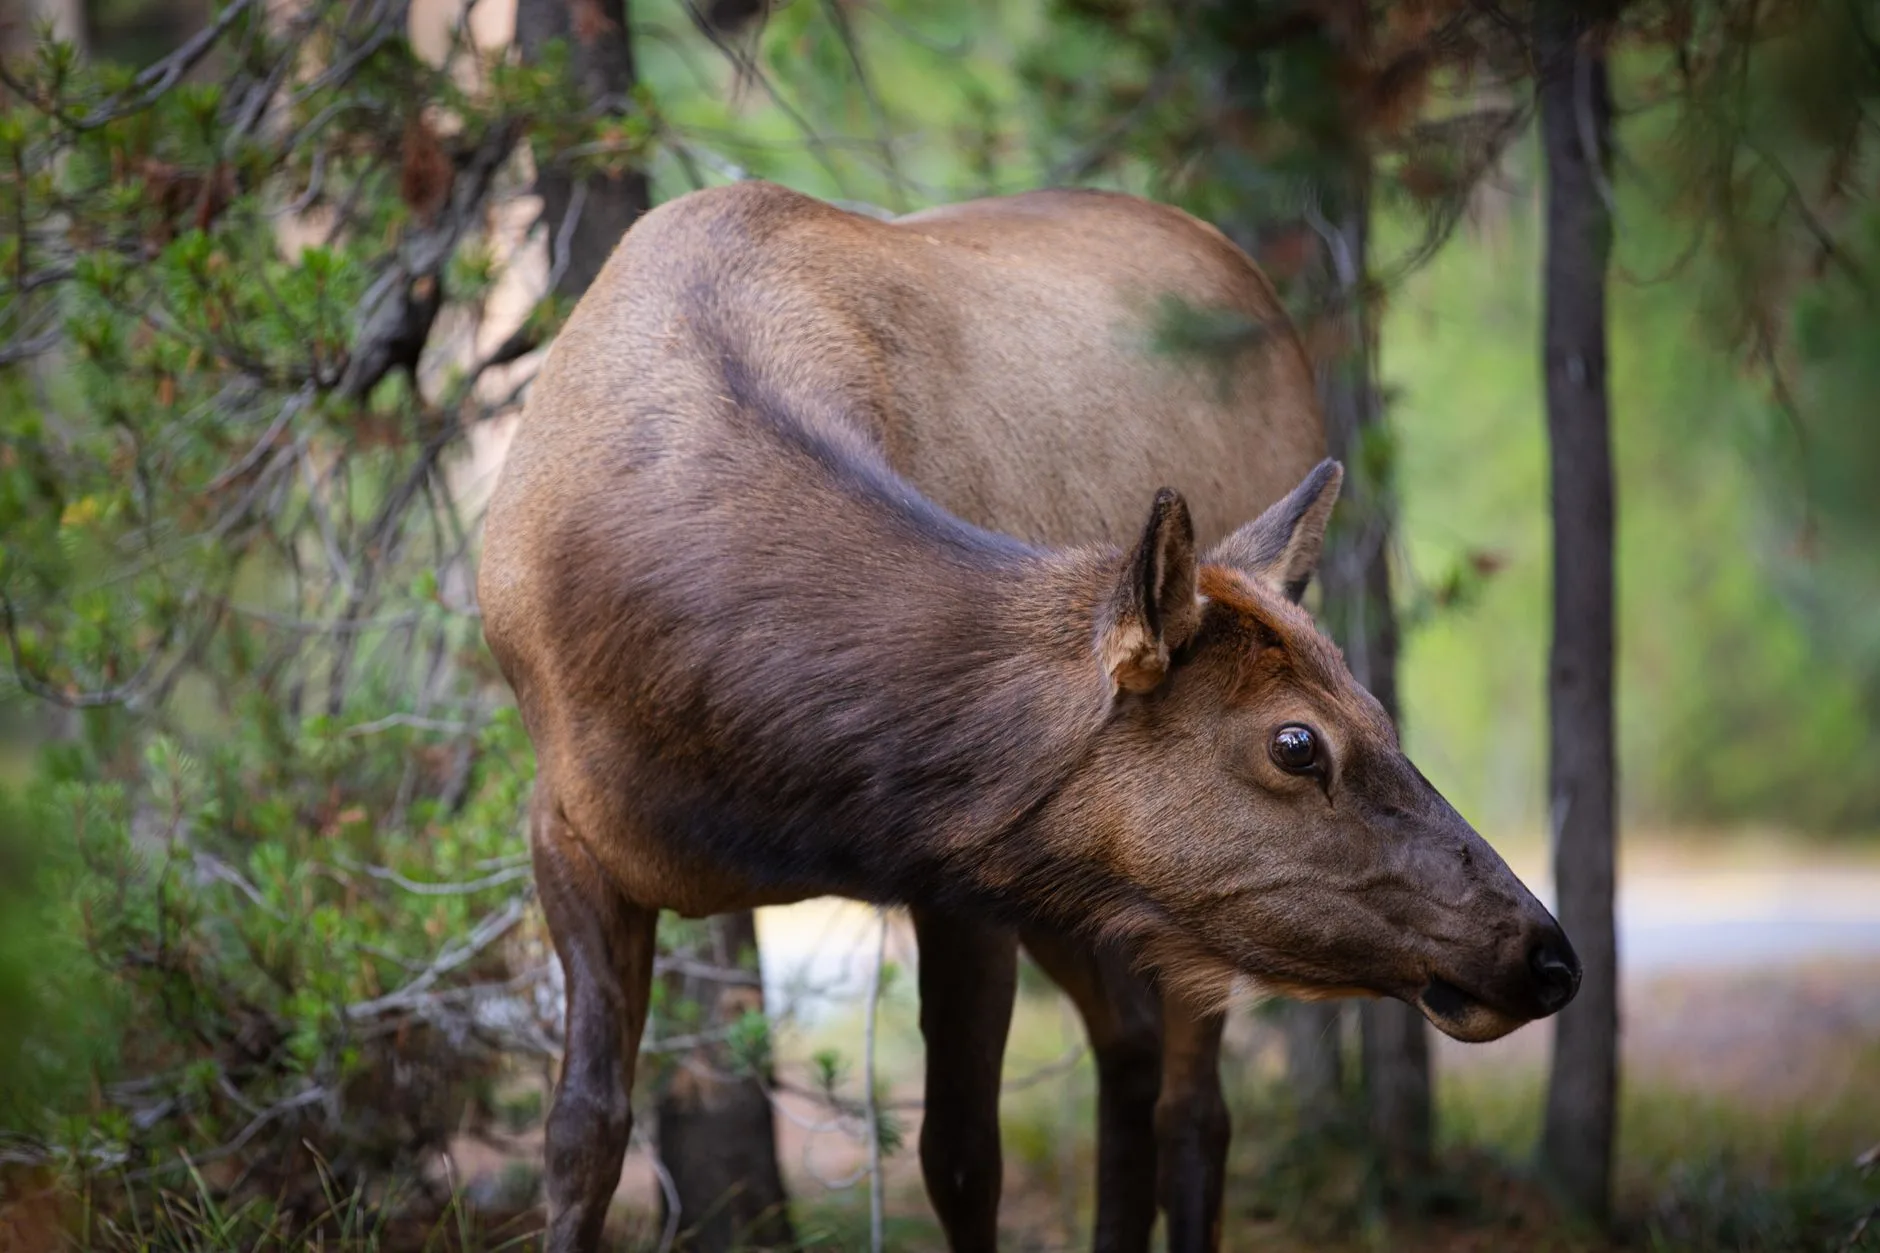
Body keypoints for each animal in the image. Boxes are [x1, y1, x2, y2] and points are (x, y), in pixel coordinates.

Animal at [477, 179, 1581, 1253]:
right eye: (1297, 741)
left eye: (1375, 709)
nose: (1548, 953)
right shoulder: (563, 826)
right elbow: (581, 1131)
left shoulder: (963, 870)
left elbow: (961, 1158)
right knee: (1133, 1050)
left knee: (1194, 1106)